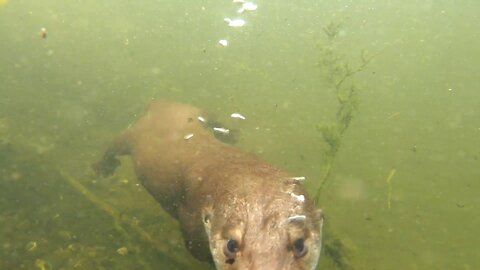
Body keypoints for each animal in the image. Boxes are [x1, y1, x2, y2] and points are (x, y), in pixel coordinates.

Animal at [95, 101, 324, 270]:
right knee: (115, 144)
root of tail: (158, 104)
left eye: (300, 244)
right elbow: (195, 250)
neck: (231, 164)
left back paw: (230, 133)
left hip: (194, 110)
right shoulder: (191, 219)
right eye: (231, 245)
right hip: (133, 135)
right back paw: (102, 168)